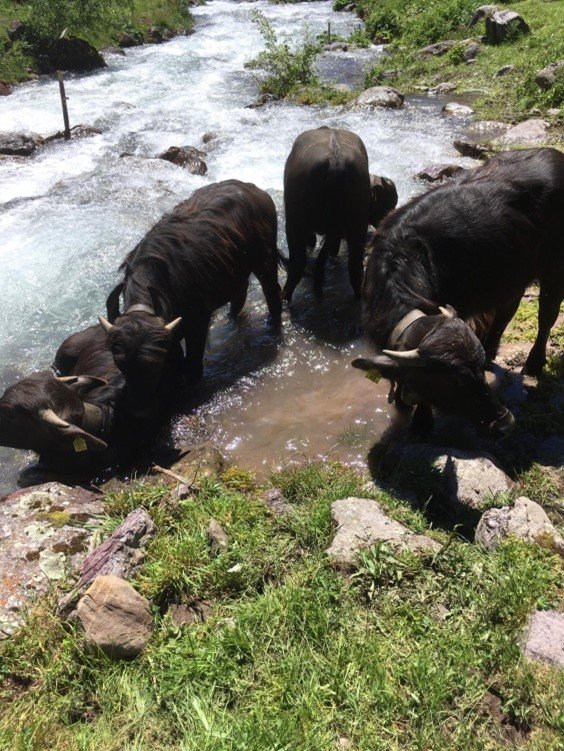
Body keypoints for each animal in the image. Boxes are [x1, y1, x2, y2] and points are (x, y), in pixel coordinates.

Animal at [99, 179, 284, 408]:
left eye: (152, 366)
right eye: (121, 365)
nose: (137, 405)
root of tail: (256, 190)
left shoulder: (198, 322)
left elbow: (193, 362)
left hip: (265, 260)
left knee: (273, 294)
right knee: (239, 296)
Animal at [282, 125, 396, 300]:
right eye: (386, 205)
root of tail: (336, 163)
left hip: (295, 218)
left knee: (298, 262)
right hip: (356, 220)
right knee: (354, 265)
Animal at [352, 148, 564, 438]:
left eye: (476, 372)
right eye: (453, 381)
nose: (505, 423)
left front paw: (422, 421)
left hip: (554, 270)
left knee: (547, 316)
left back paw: (533, 364)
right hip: (513, 274)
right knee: (508, 307)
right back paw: (492, 346)